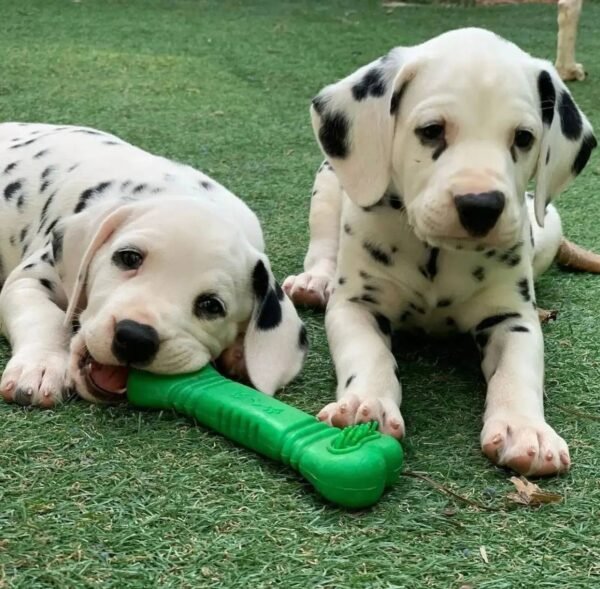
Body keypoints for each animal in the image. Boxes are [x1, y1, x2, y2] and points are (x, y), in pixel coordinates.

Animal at [0, 121, 308, 406]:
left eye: (211, 305)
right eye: (129, 257)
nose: (136, 338)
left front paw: (240, 353)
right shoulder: (28, 280)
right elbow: (46, 318)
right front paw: (41, 365)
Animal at [284, 28, 596, 478]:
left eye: (523, 138)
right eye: (432, 130)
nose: (481, 205)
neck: (436, 255)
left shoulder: (511, 319)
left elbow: (519, 371)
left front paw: (526, 430)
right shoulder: (357, 306)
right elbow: (368, 353)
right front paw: (367, 402)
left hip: (549, 225)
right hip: (328, 183)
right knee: (323, 244)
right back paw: (314, 280)